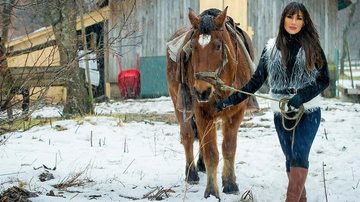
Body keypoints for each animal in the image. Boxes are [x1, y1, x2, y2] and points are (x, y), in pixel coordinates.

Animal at [166, 7, 256, 200]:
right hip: (179, 103)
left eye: (217, 46)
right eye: (192, 47)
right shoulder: (202, 111)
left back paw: (201, 166)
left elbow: (228, 148)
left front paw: (230, 183)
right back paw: (191, 172)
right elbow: (211, 152)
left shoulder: (235, 113)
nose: (202, 91)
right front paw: (212, 191)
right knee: (187, 135)